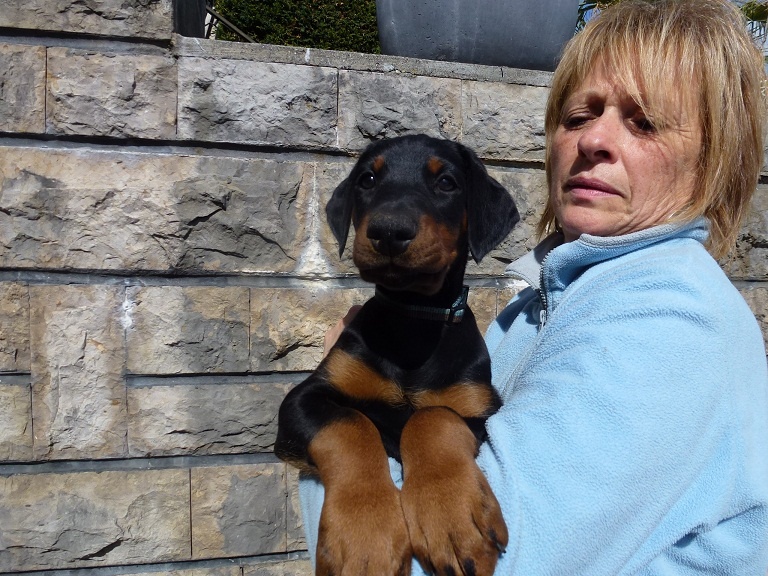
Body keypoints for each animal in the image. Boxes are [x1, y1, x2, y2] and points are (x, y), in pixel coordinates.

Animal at [275, 134, 519, 576]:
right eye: (368, 179)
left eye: (447, 183)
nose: (389, 231)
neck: (413, 320)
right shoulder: (303, 399)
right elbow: (350, 425)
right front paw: (365, 538)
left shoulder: (480, 410)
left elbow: (432, 416)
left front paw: (452, 518)